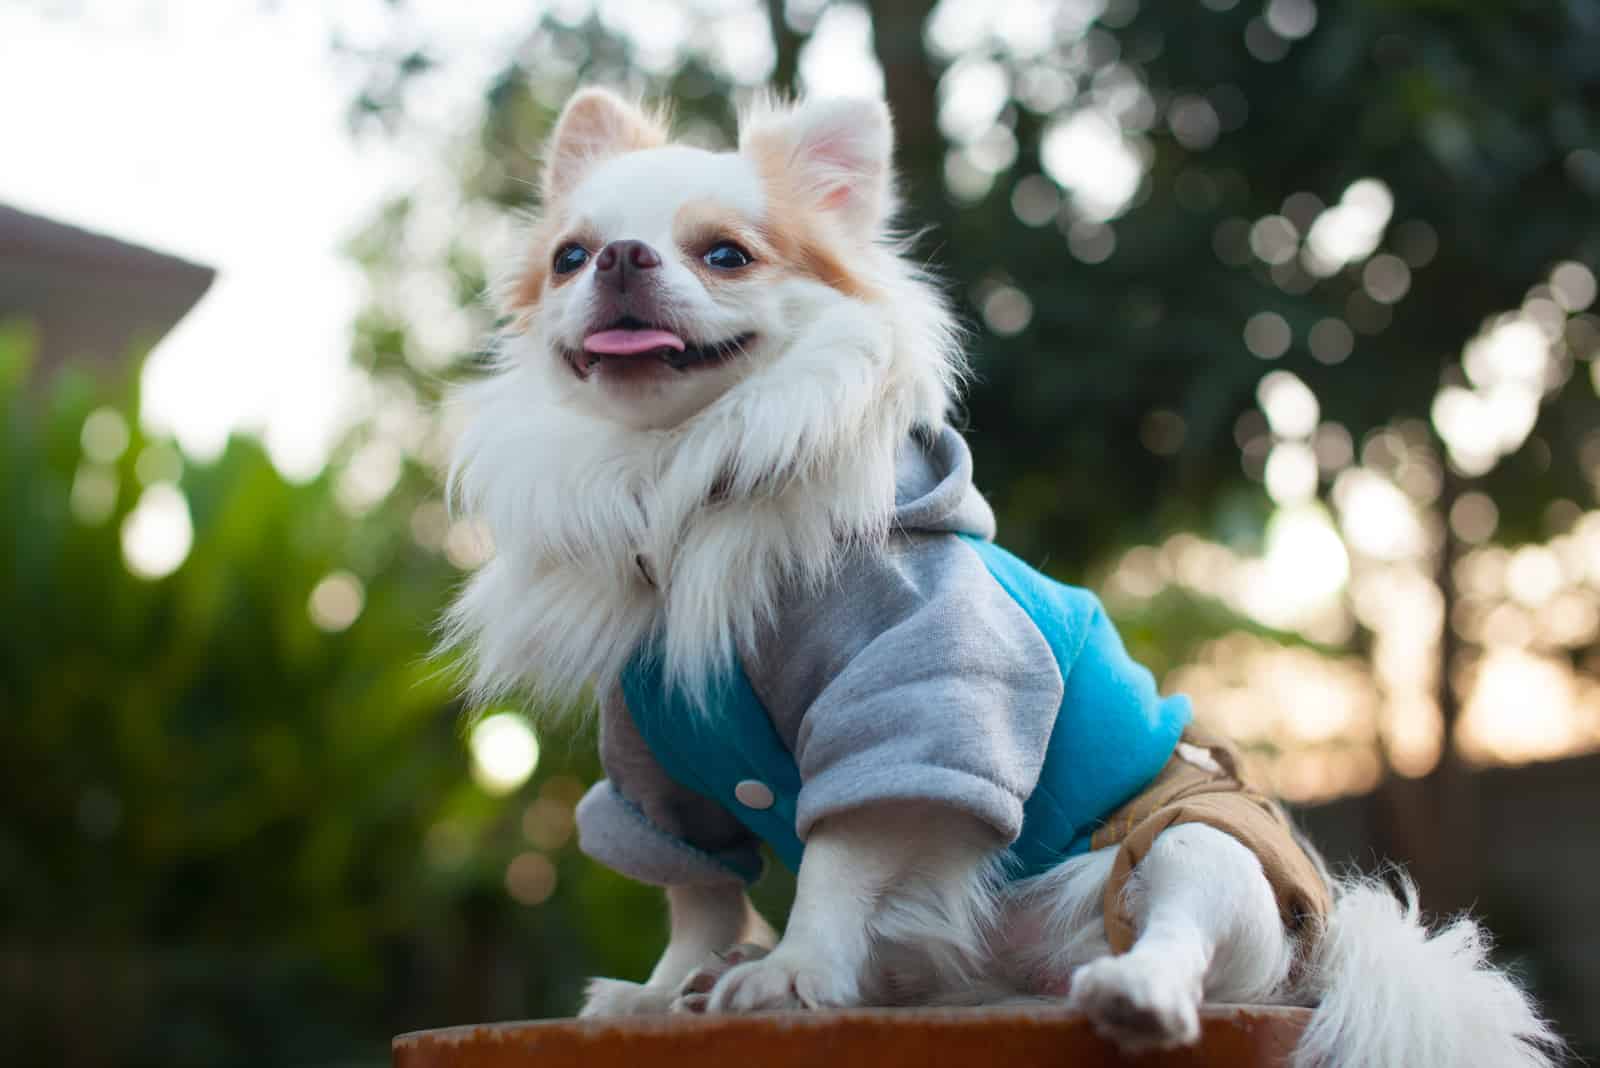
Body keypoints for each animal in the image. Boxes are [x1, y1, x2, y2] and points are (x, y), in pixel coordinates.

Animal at [441, 87, 1561, 1061]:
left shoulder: (913, 699)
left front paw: (793, 970)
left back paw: (1132, 994)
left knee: (1178, 930)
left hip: (1193, 843)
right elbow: (699, 893)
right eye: (569, 258)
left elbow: (840, 853)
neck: (684, 477)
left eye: (725, 254)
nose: (620, 258)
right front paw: (667, 985)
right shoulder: (658, 765)